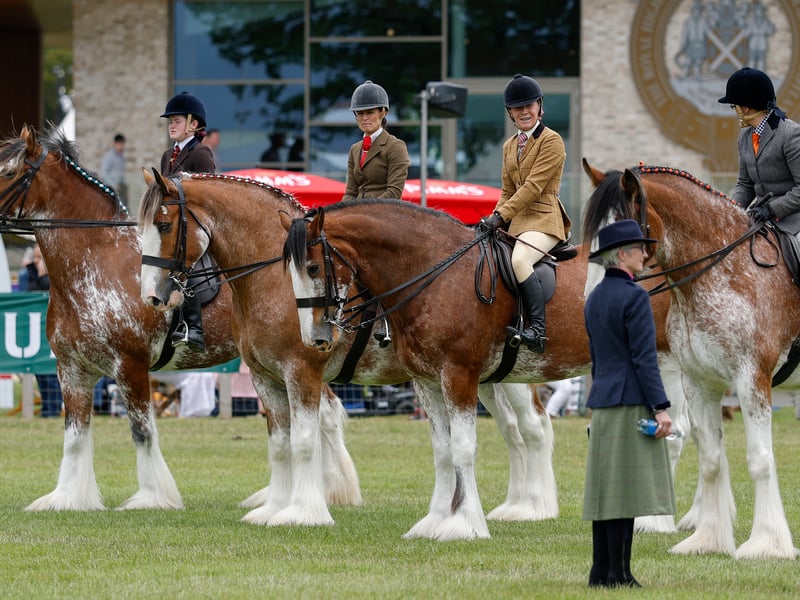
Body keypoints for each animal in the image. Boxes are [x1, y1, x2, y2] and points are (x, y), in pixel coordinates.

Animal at [0, 125, 360, 513]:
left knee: (324, 414)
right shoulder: (72, 370)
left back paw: (329, 490)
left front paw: (151, 497)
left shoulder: (130, 366)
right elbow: (75, 435)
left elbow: (142, 431)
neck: (96, 261)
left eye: (8, 172)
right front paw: (67, 497)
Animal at [138, 169, 566, 530]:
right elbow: (281, 445)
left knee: (533, 427)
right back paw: (514, 506)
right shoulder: (265, 377)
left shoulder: (302, 371)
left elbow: (303, 440)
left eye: (164, 225)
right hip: (487, 377)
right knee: (513, 432)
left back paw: (533, 507)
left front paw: (304, 511)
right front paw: (275, 507)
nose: (153, 296)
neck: (274, 278)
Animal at [280, 197, 689, 540]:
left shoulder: (459, 375)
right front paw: (435, 521)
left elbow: (463, 448)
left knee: (671, 435)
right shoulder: (427, 382)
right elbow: (443, 451)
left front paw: (464, 523)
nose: (315, 338)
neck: (434, 272)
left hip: (664, 365)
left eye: (313, 267)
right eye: (290, 274)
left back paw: (656, 521)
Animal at [581, 160, 800, 559]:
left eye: (622, 233)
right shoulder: (700, 383)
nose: (592, 302)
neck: (726, 271)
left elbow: (759, 460)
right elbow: (711, 460)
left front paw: (766, 544)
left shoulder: (751, 380)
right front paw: (707, 539)